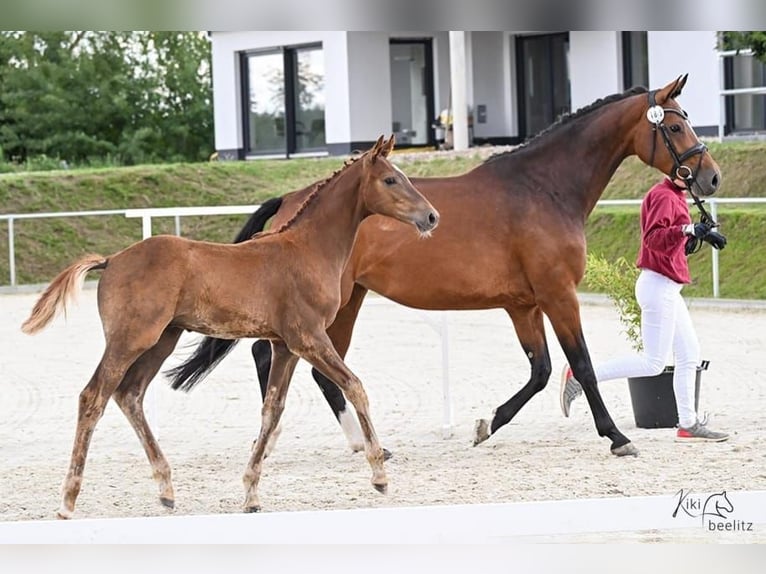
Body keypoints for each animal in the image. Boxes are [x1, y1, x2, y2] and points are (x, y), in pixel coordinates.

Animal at [20, 135, 439, 518]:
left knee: (130, 395)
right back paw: (68, 500)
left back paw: (166, 489)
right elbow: (354, 386)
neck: (307, 249)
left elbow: (273, 409)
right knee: (93, 397)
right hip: (129, 339)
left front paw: (251, 493)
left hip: (161, 341)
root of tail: (112, 260)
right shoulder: (308, 338)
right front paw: (379, 475)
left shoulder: (284, 346)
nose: (432, 217)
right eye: (390, 179)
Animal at [169, 74, 721, 459]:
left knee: (302, 365)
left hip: (347, 301)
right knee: (286, 361)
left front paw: (486, 425)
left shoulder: (523, 305)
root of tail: (290, 202)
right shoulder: (557, 293)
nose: (710, 177)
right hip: (335, 303)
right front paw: (617, 436)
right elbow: (581, 365)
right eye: (675, 125)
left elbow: (541, 370)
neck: (542, 188)